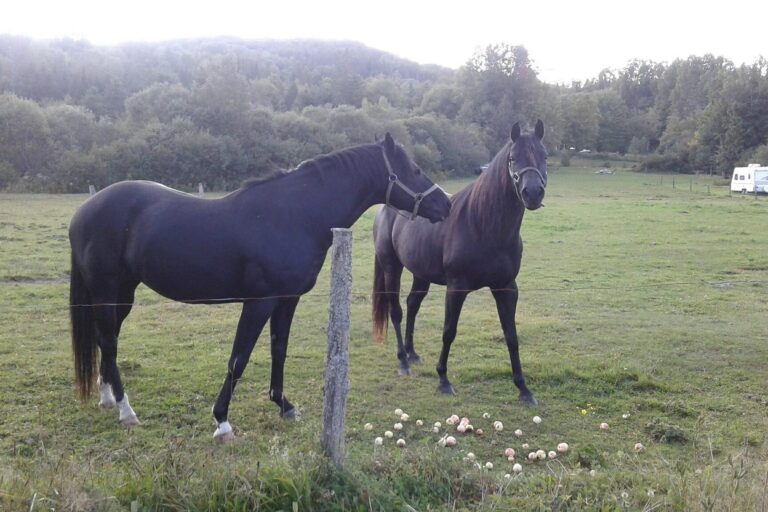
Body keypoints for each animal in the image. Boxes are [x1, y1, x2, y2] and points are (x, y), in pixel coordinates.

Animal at [69, 133, 451, 442]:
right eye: (414, 169)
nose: (446, 205)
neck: (295, 215)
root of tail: (82, 212)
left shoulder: (287, 299)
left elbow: (278, 350)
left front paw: (284, 405)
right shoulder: (259, 302)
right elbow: (238, 359)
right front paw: (222, 421)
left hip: (122, 295)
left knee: (106, 340)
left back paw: (107, 398)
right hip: (106, 292)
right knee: (109, 342)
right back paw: (126, 410)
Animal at [372, 121, 547, 405]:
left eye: (545, 156)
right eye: (513, 159)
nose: (532, 193)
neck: (483, 225)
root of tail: (386, 208)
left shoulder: (507, 288)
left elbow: (511, 336)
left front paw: (524, 389)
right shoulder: (456, 288)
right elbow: (449, 331)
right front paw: (443, 380)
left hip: (421, 274)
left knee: (412, 305)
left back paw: (412, 353)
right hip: (391, 267)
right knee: (395, 310)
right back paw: (403, 362)